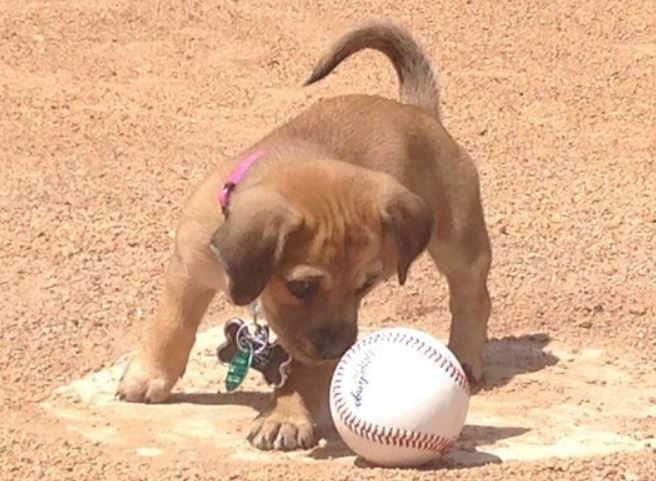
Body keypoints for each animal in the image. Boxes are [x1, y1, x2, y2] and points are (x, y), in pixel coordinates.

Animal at [116, 21, 492, 450]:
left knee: (473, 295)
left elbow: (301, 370)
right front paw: (148, 376)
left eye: (366, 285)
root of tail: (417, 109)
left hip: (458, 239)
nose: (338, 350)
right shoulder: (188, 269)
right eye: (301, 287)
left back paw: (465, 354)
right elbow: (172, 324)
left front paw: (285, 416)